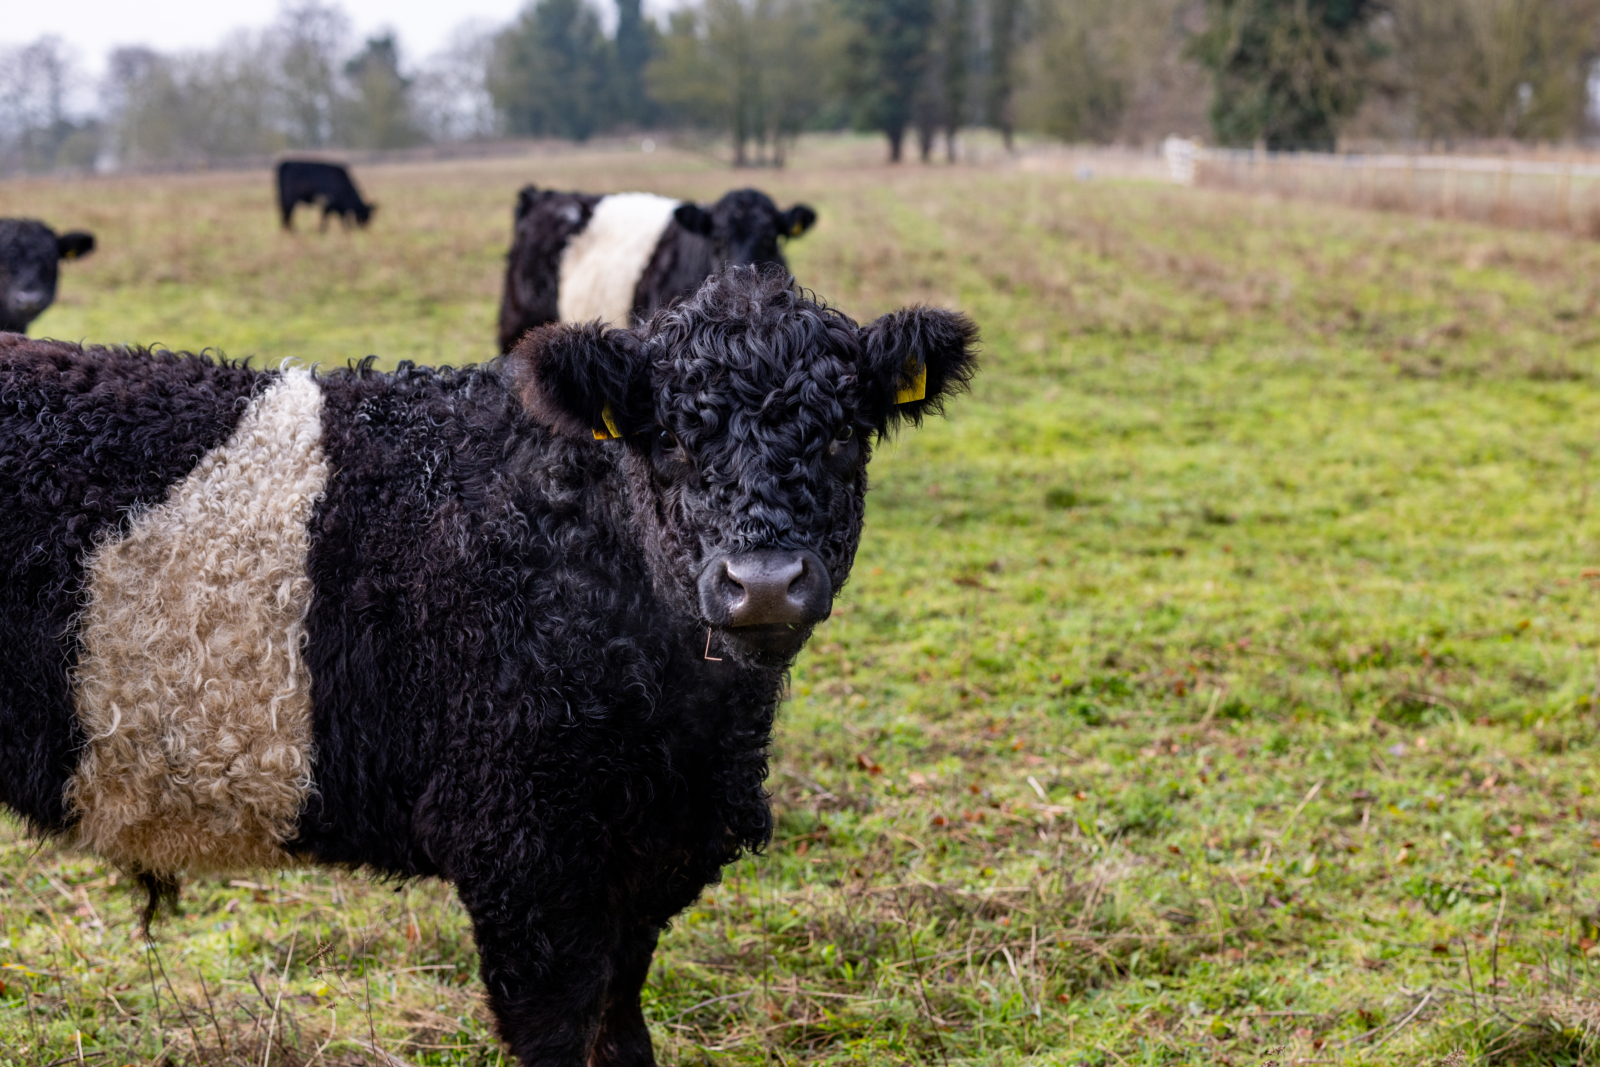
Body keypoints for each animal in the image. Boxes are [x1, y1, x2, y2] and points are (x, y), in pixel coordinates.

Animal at [0, 267, 972, 1067]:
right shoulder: (525, 851)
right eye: (670, 440)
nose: (762, 582)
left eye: (845, 437)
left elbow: (622, 1031)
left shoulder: (644, 856)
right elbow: (560, 1035)